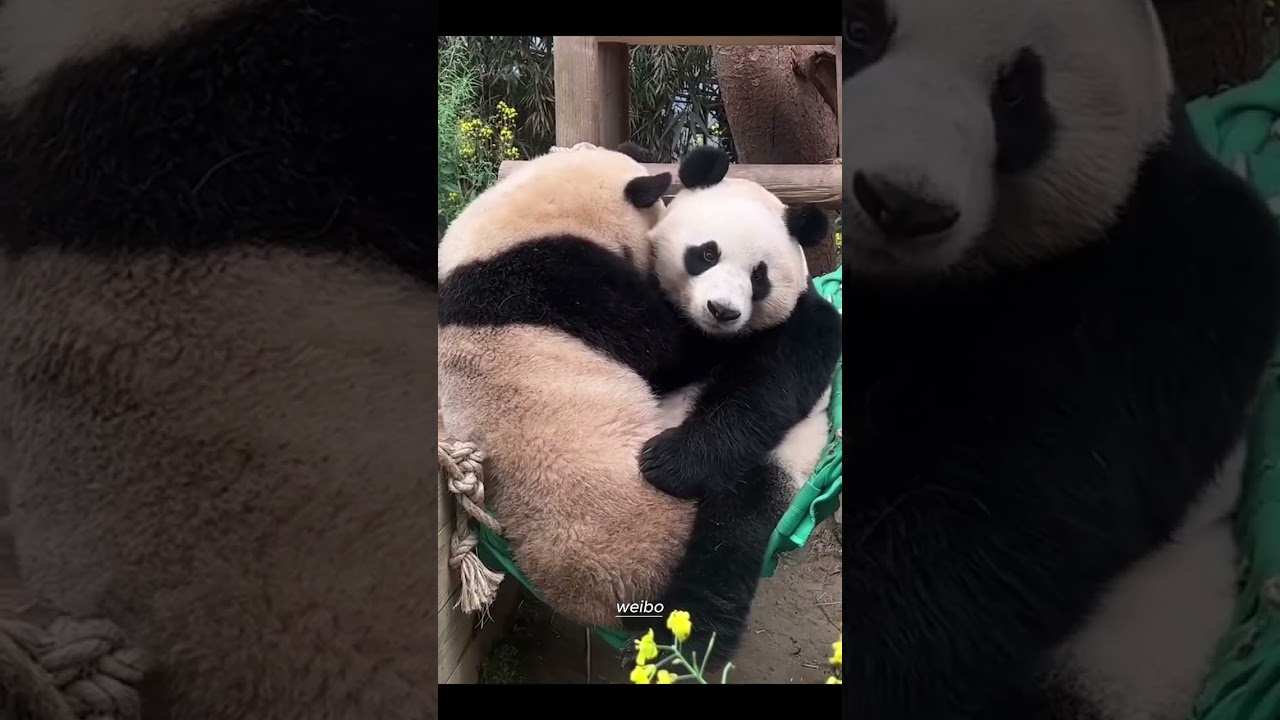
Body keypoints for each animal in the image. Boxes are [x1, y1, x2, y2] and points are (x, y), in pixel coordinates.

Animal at [437, 144, 839, 664]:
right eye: (703, 254)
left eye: (758, 276)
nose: (723, 310)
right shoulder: (562, 281)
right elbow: (672, 348)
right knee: (728, 533)